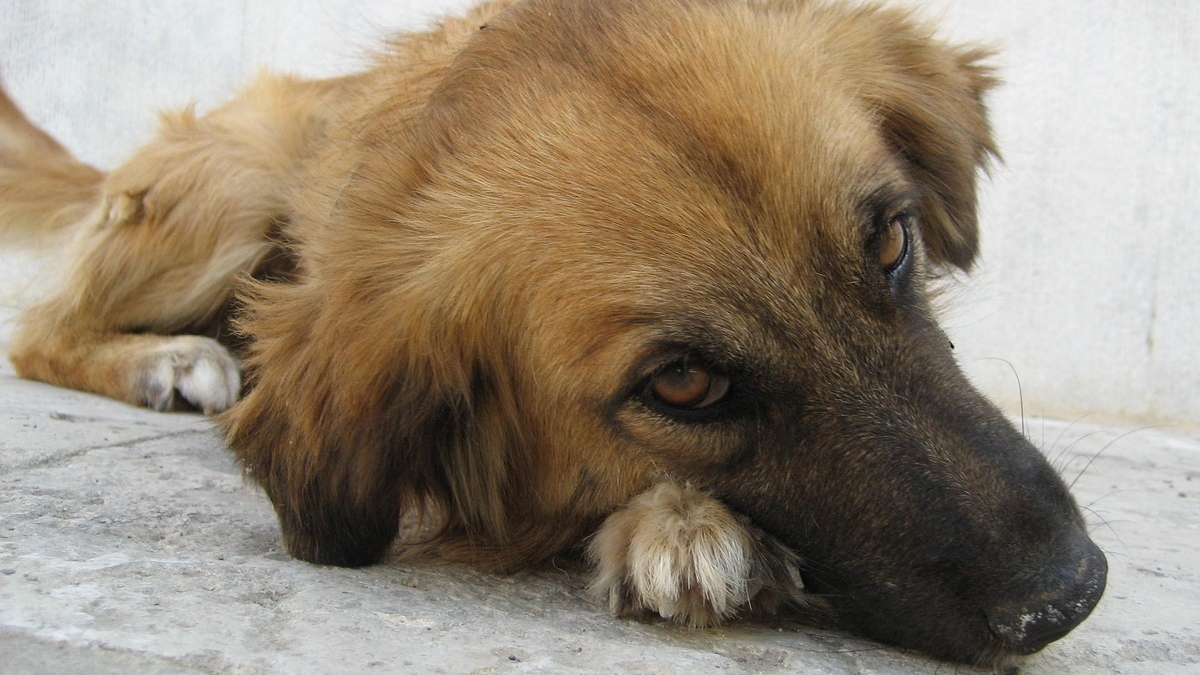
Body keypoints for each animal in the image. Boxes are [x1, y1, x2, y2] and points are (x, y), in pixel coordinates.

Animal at [0, 0, 1104, 662]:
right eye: (682, 383)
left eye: (890, 240)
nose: (1070, 594)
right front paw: (680, 524)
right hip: (232, 192)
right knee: (39, 327)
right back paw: (169, 359)